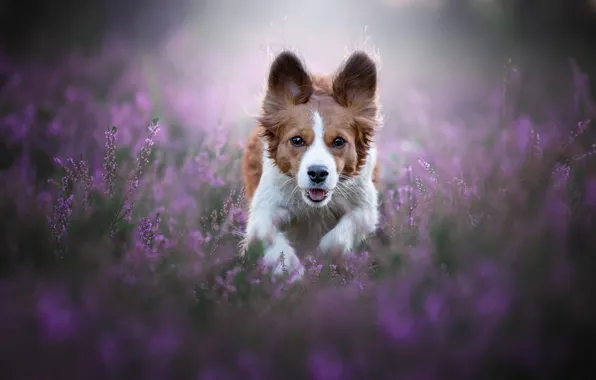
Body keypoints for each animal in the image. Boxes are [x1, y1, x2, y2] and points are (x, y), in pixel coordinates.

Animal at [240, 49, 380, 282]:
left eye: (339, 141)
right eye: (297, 140)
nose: (317, 173)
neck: (314, 208)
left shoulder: (365, 207)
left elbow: (338, 238)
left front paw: (322, 257)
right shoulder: (264, 208)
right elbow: (268, 233)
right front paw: (290, 269)